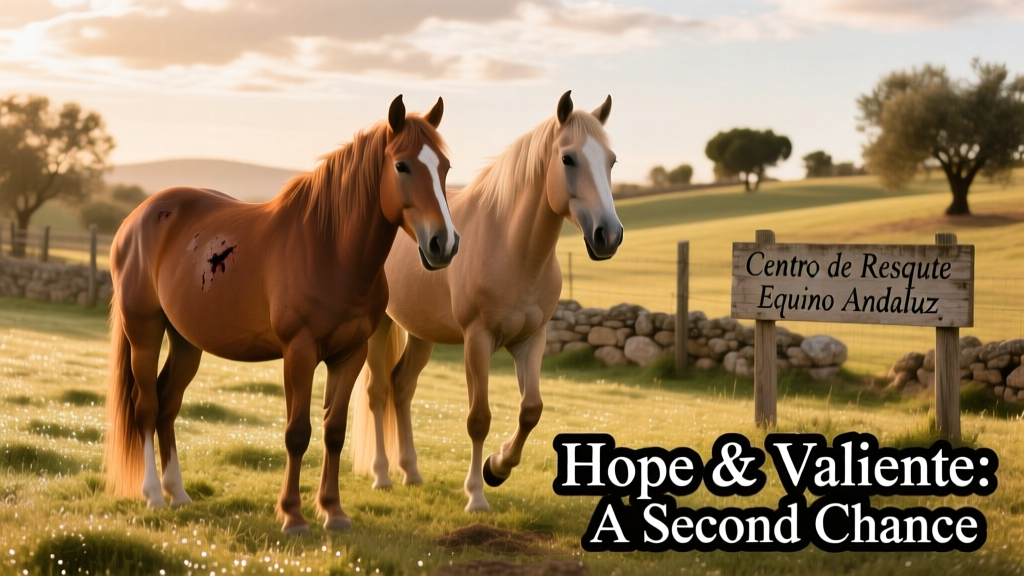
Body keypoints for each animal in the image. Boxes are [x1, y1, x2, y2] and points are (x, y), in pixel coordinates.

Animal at [104, 95, 459, 535]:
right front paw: (293, 515)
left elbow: (334, 431)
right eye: (402, 166)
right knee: (148, 408)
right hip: (145, 331)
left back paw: (179, 495)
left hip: (186, 341)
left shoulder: (351, 355)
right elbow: (297, 433)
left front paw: (334, 512)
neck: (330, 249)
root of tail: (136, 219)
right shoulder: (299, 352)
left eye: (444, 167)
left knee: (168, 404)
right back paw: (154, 495)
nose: (444, 243)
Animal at [351, 91, 623, 512]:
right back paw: (382, 476)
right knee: (378, 392)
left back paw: (411, 472)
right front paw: (476, 494)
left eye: (610, 160)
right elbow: (478, 418)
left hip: (422, 334)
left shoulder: (532, 339)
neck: (511, 248)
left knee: (402, 386)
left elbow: (531, 410)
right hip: (381, 325)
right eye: (568, 158)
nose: (608, 235)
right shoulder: (477, 341)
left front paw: (498, 467)